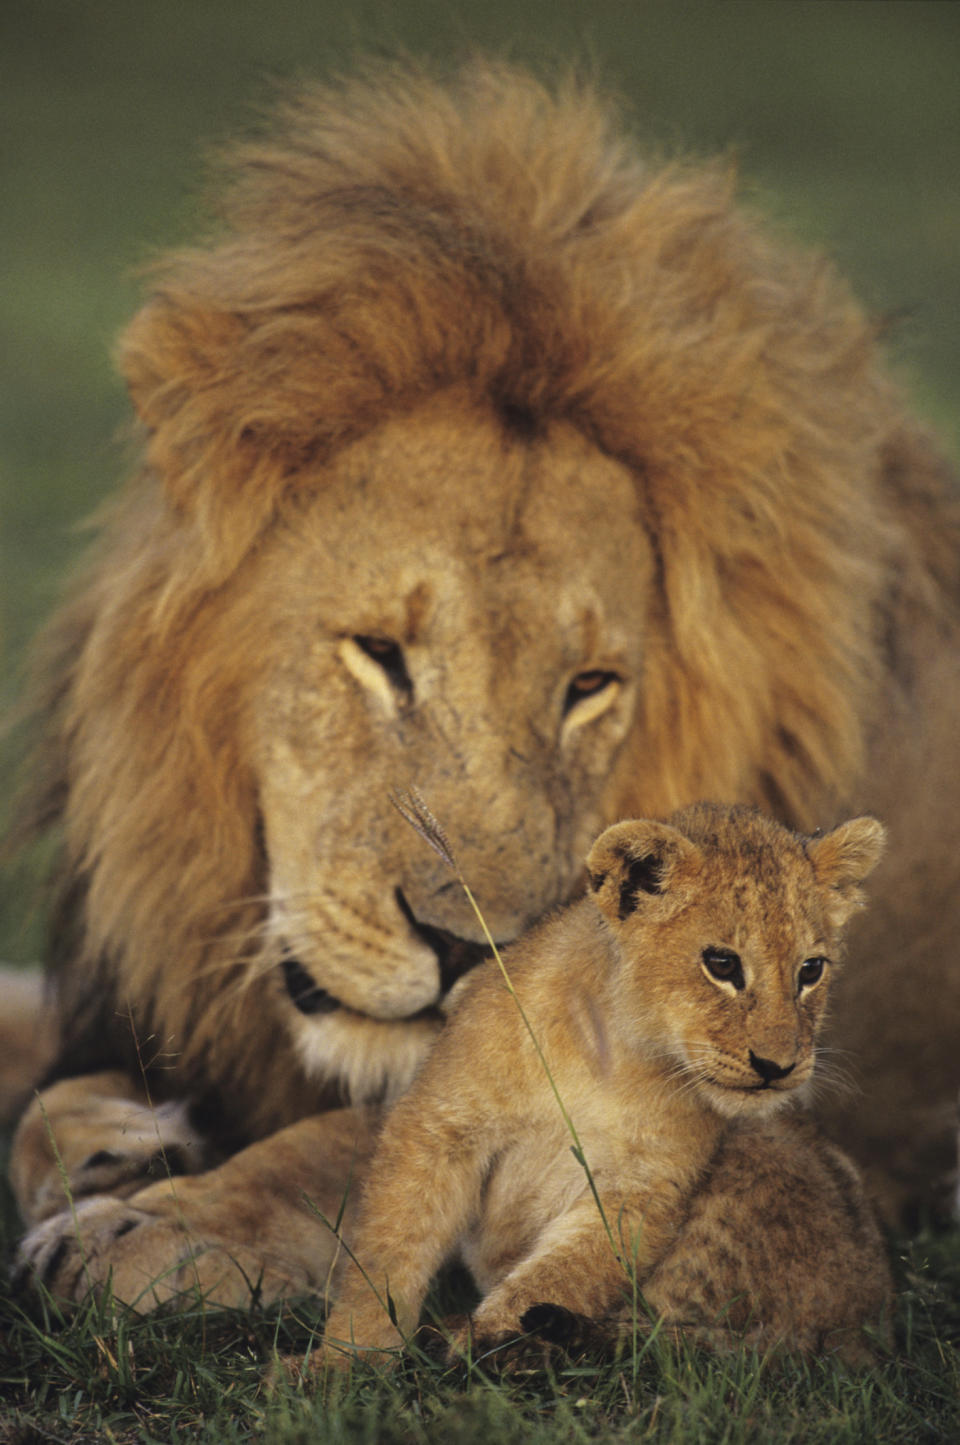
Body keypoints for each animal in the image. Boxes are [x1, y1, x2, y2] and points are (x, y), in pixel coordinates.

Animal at [9, 59, 960, 1312]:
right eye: (378, 652)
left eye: (591, 685)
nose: (470, 953)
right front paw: (113, 1131)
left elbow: (368, 1136)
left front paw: (158, 1218)